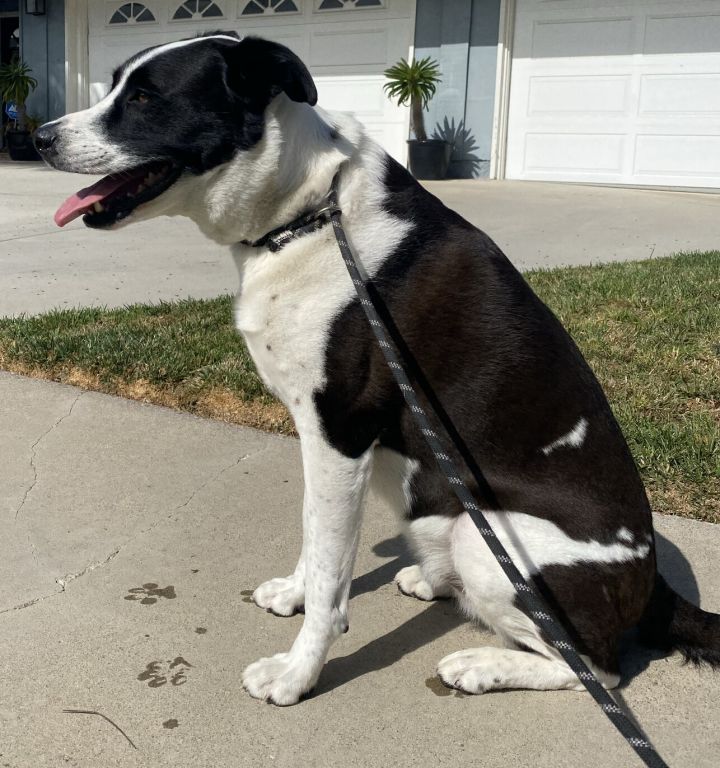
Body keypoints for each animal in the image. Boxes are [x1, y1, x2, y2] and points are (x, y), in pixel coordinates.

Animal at [35, 36, 720, 708]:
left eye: (146, 98)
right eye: (118, 85)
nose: (38, 138)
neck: (308, 212)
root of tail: (653, 585)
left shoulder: (340, 435)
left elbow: (333, 570)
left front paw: (299, 673)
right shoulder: (314, 437)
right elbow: (314, 536)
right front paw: (295, 594)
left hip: (491, 542)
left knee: (598, 671)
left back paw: (482, 665)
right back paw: (432, 583)